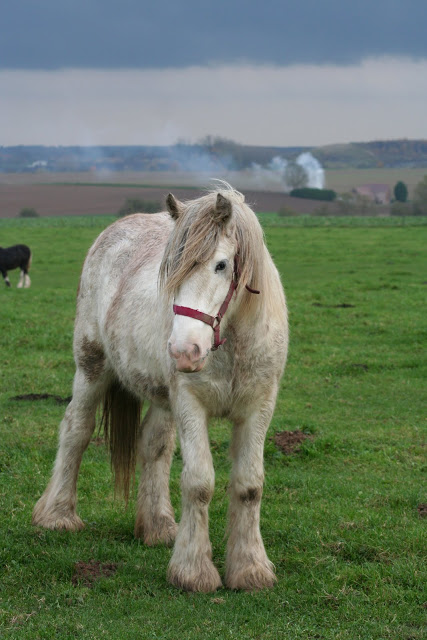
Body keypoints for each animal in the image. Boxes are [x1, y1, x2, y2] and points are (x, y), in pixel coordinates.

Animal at [31, 184, 290, 592]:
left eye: (221, 265)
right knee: (76, 430)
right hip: (92, 367)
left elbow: (249, 486)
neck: (232, 343)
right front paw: (193, 571)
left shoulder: (258, 407)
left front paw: (250, 569)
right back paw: (57, 515)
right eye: (172, 268)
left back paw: (158, 526)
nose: (184, 350)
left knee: (154, 445)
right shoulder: (190, 403)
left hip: (162, 398)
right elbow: (199, 483)